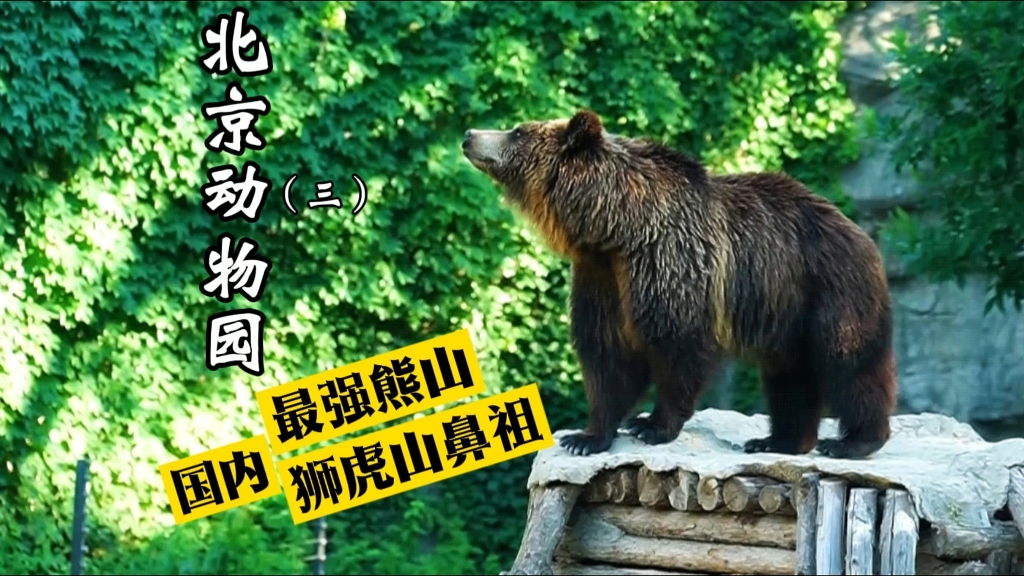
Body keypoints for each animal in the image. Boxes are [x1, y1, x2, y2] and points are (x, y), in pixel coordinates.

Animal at [461, 109, 897, 460]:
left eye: (517, 130)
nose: (469, 133)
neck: (615, 227)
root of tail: (860, 233)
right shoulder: (602, 277)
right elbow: (606, 354)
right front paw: (586, 436)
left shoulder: (669, 262)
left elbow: (677, 347)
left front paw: (651, 425)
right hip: (787, 315)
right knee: (790, 377)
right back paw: (779, 440)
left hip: (831, 292)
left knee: (849, 363)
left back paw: (853, 441)